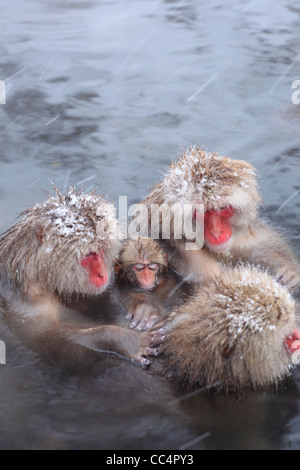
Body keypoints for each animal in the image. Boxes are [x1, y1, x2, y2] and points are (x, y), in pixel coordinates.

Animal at [138, 147, 300, 290]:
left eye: (221, 209)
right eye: (202, 212)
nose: (217, 232)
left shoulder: (245, 240)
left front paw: (289, 270)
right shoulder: (193, 260)